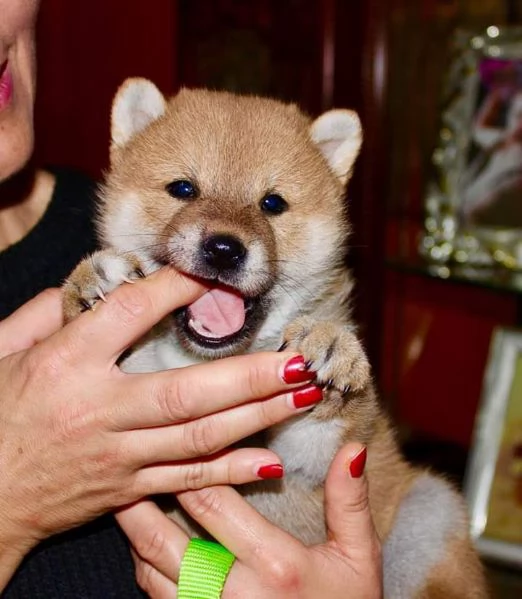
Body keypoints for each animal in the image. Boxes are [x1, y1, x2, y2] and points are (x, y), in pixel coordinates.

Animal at [63, 81, 486, 599]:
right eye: (183, 189)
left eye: (272, 204)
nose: (224, 248)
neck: (203, 362)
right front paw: (92, 281)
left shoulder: (314, 464)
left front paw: (328, 349)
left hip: (429, 512)